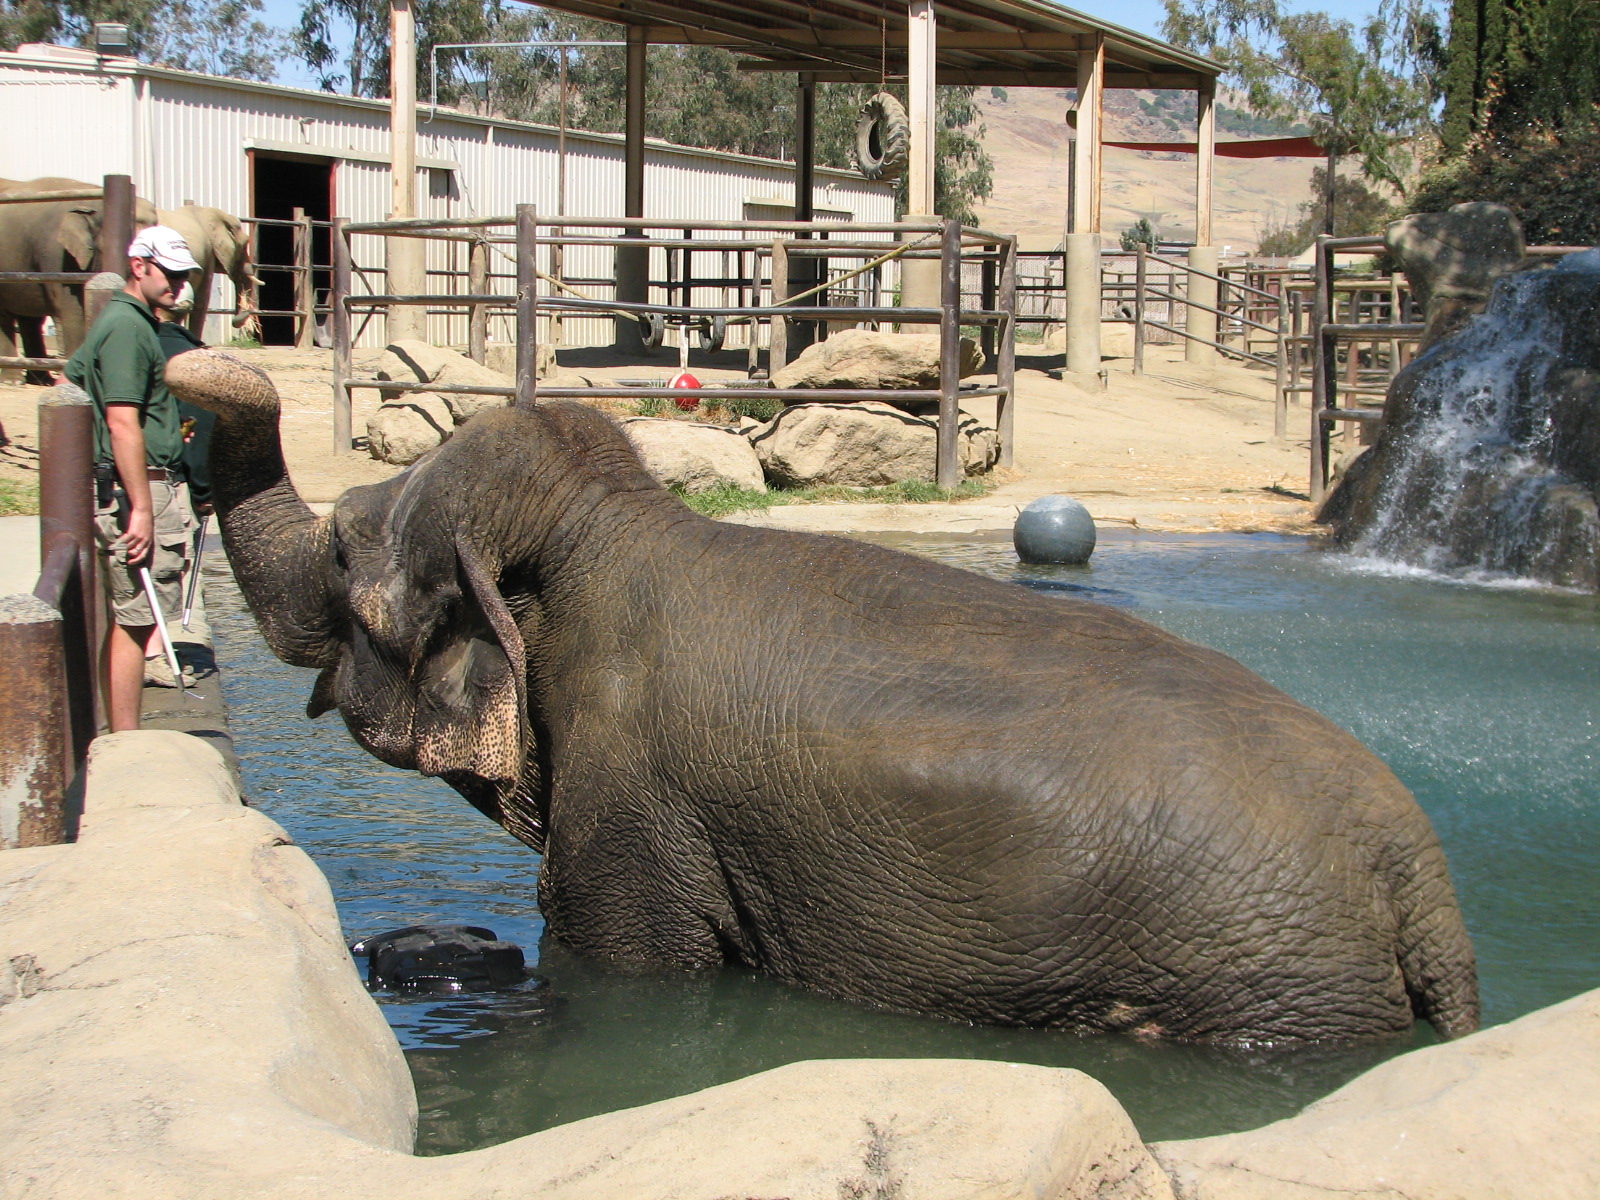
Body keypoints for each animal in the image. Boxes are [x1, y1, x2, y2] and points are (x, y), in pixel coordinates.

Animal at [169, 349, 1481, 1045]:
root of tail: (1420, 876)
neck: (601, 533)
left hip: (1268, 983)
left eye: (345, 549)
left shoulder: (632, 805)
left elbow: (624, 969)